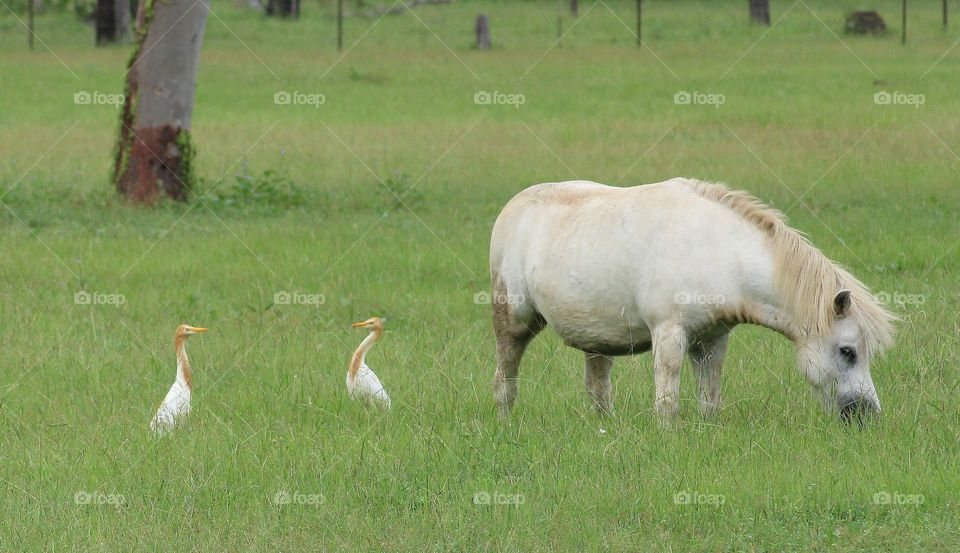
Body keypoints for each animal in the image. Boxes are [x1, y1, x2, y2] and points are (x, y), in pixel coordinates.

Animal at [488, 178, 896, 423]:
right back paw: (506, 424)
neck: (720, 253)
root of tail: (513, 206)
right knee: (504, 380)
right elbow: (667, 400)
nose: (869, 416)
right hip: (514, 322)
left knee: (598, 390)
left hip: (597, 340)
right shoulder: (670, 333)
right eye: (847, 352)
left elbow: (709, 400)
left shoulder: (712, 340)